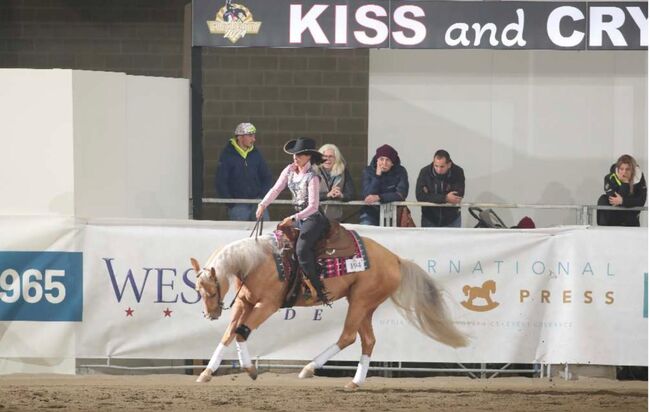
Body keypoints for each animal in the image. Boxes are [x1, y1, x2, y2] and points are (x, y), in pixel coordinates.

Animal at [190, 233, 468, 388]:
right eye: (198, 291)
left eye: (211, 291)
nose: (210, 314)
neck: (257, 262)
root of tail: (395, 259)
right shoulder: (244, 303)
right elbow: (228, 335)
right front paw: (206, 373)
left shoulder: (267, 306)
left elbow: (241, 332)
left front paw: (249, 370)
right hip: (364, 305)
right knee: (367, 340)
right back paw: (355, 382)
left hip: (360, 302)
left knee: (348, 336)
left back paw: (309, 369)